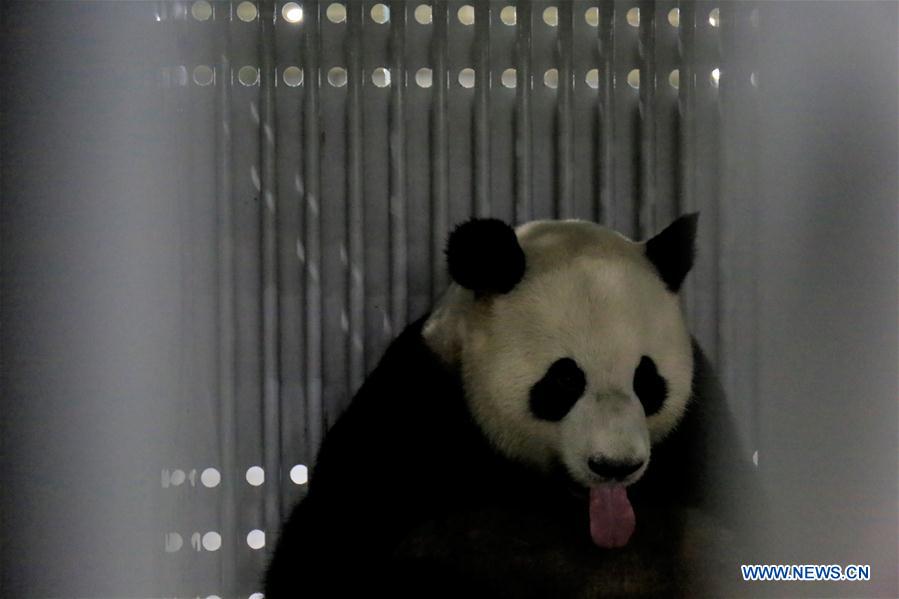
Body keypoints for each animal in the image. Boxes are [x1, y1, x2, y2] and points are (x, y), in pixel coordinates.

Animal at [265, 215, 760, 598]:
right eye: (564, 379)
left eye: (646, 380)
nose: (614, 466)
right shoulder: (414, 407)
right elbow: (328, 547)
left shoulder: (699, 429)